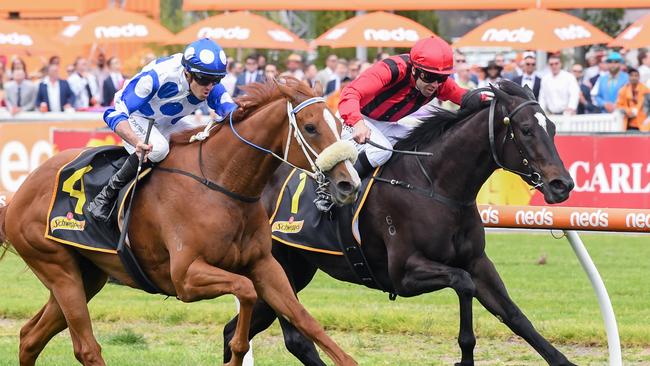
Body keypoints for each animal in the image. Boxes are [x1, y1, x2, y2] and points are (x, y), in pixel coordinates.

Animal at [0, 76, 360, 364]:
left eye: (338, 123)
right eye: (311, 128)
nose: (349, 183)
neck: (221, 183)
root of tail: (19, 194)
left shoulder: (264, 265)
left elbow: (303, 318)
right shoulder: (186, 277)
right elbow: (245, 293)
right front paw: (236, 353)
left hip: (85, 275)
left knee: (30, 336)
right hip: (58, 269)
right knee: (86, 348)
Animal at [225, 81, 576, 366]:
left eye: (553, 128)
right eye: (526, 129)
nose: (562, 184)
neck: (435, 185)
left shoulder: (478, 262)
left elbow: (515, 315)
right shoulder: (404, 274)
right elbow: (463, 283)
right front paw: (464, 356)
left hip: (295, 270)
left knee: (233, 331)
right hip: (278, 267)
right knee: (296, 339)